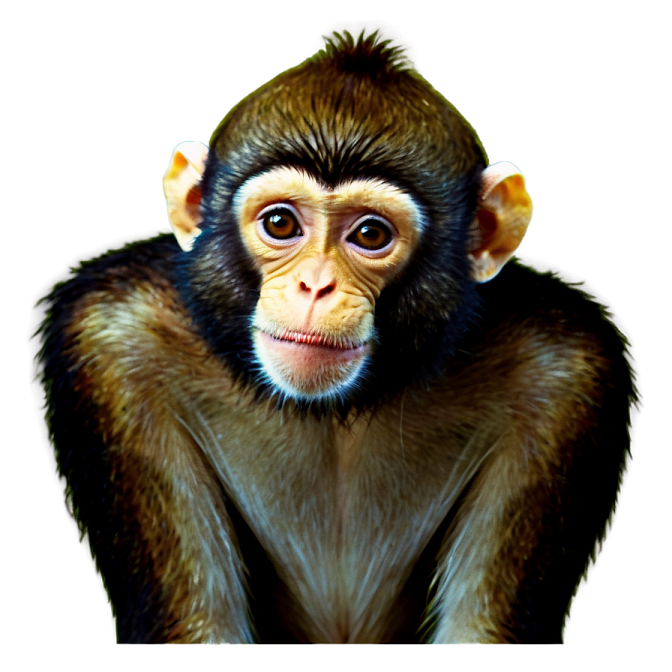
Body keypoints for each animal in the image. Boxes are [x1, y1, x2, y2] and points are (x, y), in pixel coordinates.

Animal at [34, 33, 635, 644]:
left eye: (369, 234)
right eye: (280, 224)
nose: (315, 285)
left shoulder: (563, 372)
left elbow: (481, 625)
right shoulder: (114, 338)